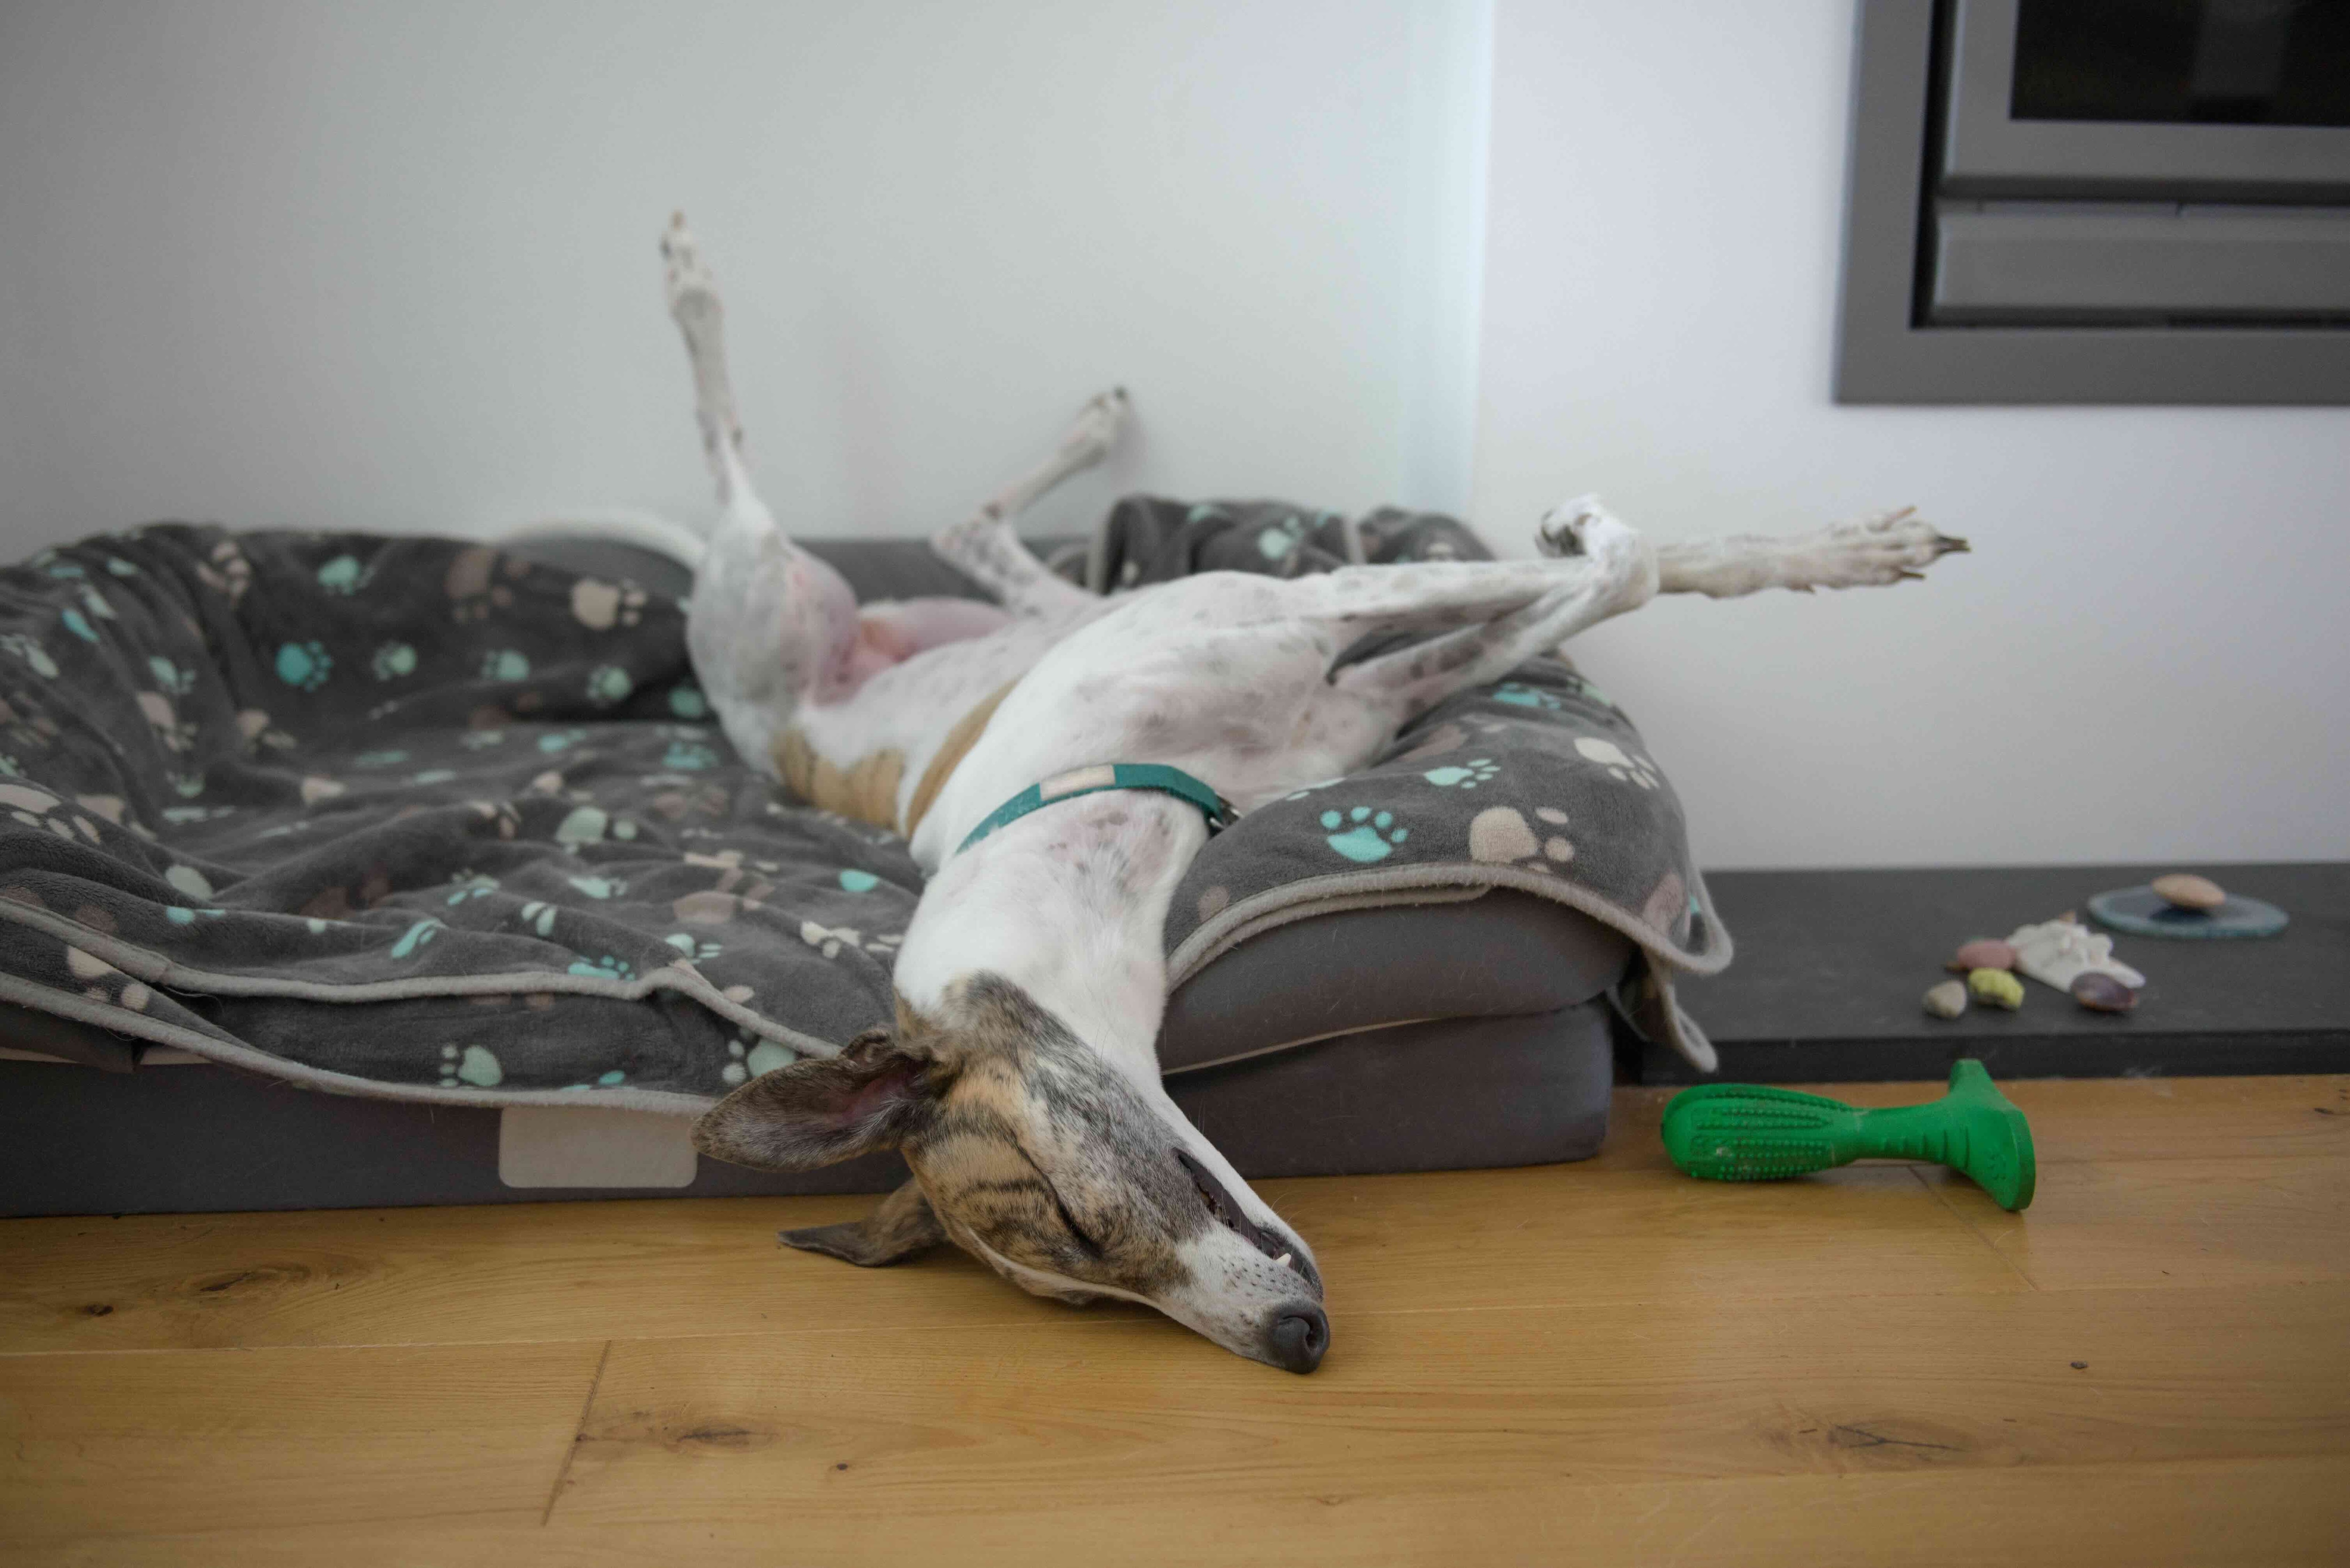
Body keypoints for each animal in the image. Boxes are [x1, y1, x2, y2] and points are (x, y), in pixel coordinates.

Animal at [630, 217, 1965, 1372]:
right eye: (1083, 1289)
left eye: (1074, 1216)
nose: (1296, 1342)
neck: (1082, 791)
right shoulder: (1355, 677)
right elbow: (1605, 580)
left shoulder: (1319, 618)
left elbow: (1627, 566)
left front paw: (1827, 549)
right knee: (947, 522)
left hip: (811, 596)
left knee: (843, 493)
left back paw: (702, 287)